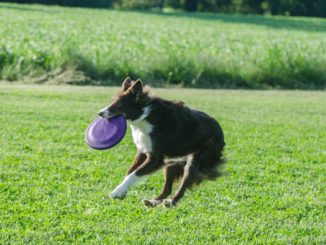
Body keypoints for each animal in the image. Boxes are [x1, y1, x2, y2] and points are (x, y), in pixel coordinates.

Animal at [98, 77, 225, 208]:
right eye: (111, 100)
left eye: (118, 103)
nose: (100, 113)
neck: (144, 115)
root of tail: (220, 131)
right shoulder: (142, 151)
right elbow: (130, 172)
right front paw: (122, 191)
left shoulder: (155, 158)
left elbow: (135, 174)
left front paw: (116, 192)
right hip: (172, 161)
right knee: (167, 189)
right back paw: (152, 202)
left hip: (196, 159)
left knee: (184, 184)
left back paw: (171, 202)